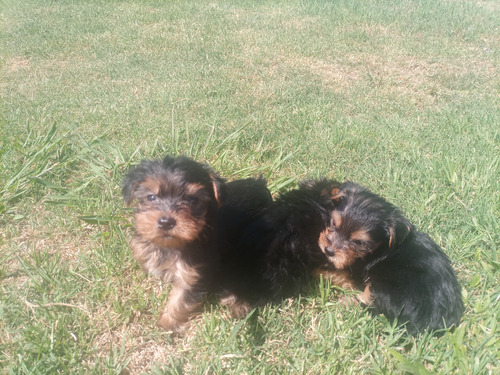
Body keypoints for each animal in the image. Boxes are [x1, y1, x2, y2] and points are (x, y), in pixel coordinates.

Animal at [121, 156, 225, 334]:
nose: (166, 222)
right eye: (151, 197)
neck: (169, 245)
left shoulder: (191, 274)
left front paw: (166, 323)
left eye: (192, 199)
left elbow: (180, 300)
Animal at [318, 181, 462, 334]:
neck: (382, 247)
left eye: (359, 243)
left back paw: (345, 301)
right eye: (333, 224)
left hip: (380, 286)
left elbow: (336, 273)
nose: (328, 250)